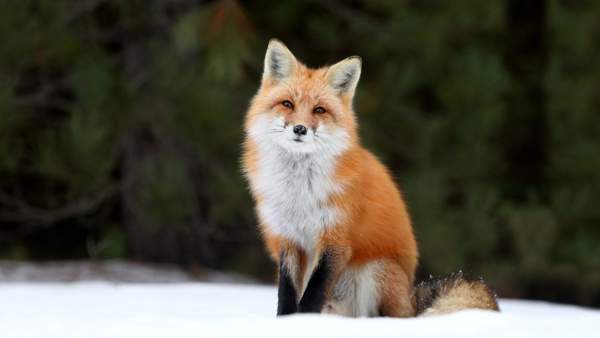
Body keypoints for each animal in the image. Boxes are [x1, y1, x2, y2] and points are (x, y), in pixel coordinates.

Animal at [241, 39, 500, 316]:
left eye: (319, 110)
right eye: (287, 104)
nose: (300, 129)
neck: (299, 191)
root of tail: (411, 299)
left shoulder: (336, 239)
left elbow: (312, 295)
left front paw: (306, 321)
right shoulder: (288, 239)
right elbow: (287, 295)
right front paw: (287, 322)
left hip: (375, 270)